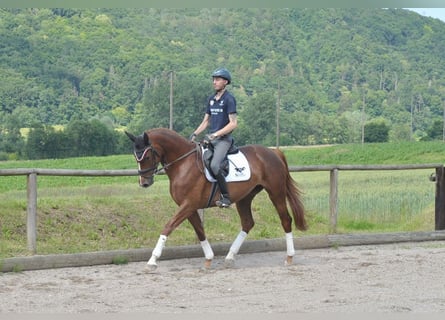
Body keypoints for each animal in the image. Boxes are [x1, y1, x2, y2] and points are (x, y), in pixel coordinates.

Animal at [125, 127, 306, 270]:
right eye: (135, 156)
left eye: (147, 157)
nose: (144, 183)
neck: (184, 164)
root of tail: (273, 151)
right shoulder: (188, 206)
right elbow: (199, 230)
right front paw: (209, 258)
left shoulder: (188, 205)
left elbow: (168, 226)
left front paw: (152, 260)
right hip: (245, 197)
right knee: (248, 223)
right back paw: (230, 257)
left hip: (276, 192)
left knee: (285, 220)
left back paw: (289, 257)